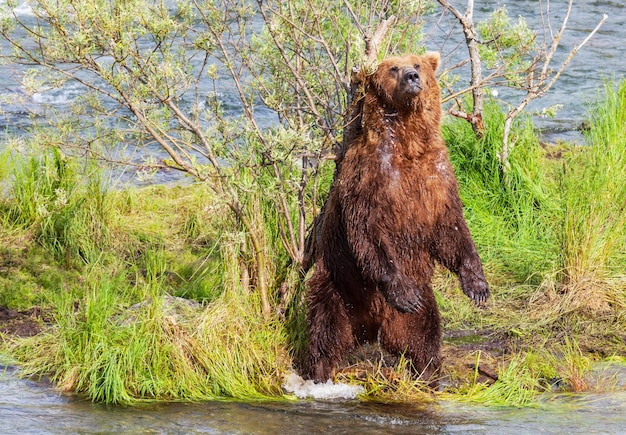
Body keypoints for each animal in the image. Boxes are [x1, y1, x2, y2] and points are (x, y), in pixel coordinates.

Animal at [302, 52, 488, 384]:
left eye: (417, 64)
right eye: (392, 68)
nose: (412, 76)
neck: (408, 141)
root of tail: (371, 326)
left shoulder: (437, 176)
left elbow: (451, 228)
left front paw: (477, 286)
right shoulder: (371, 175)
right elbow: (367, 229)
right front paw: (401, 292)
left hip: (419, 300)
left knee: (423, 332)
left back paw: (431, 372)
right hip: (338, 283)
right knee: (325, 330)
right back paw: (319, 374)